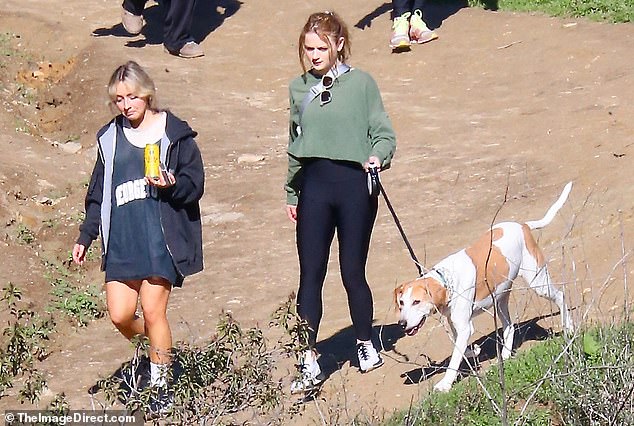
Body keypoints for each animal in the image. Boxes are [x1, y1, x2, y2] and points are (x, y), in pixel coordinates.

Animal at [390, 181, 572, 392]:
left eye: (416, 302)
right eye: (401, 303)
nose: (402, 324)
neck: (447, 279)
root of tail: (523, 226)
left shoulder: (463, 327)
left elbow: (454, 360)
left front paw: (445, 384)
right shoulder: (457, 325)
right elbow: (461, 347)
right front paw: (474, 350)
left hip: (538, 282)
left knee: (561, 296)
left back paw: (569, 328)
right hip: (500, 298)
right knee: (509, 326)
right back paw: (506, 354)